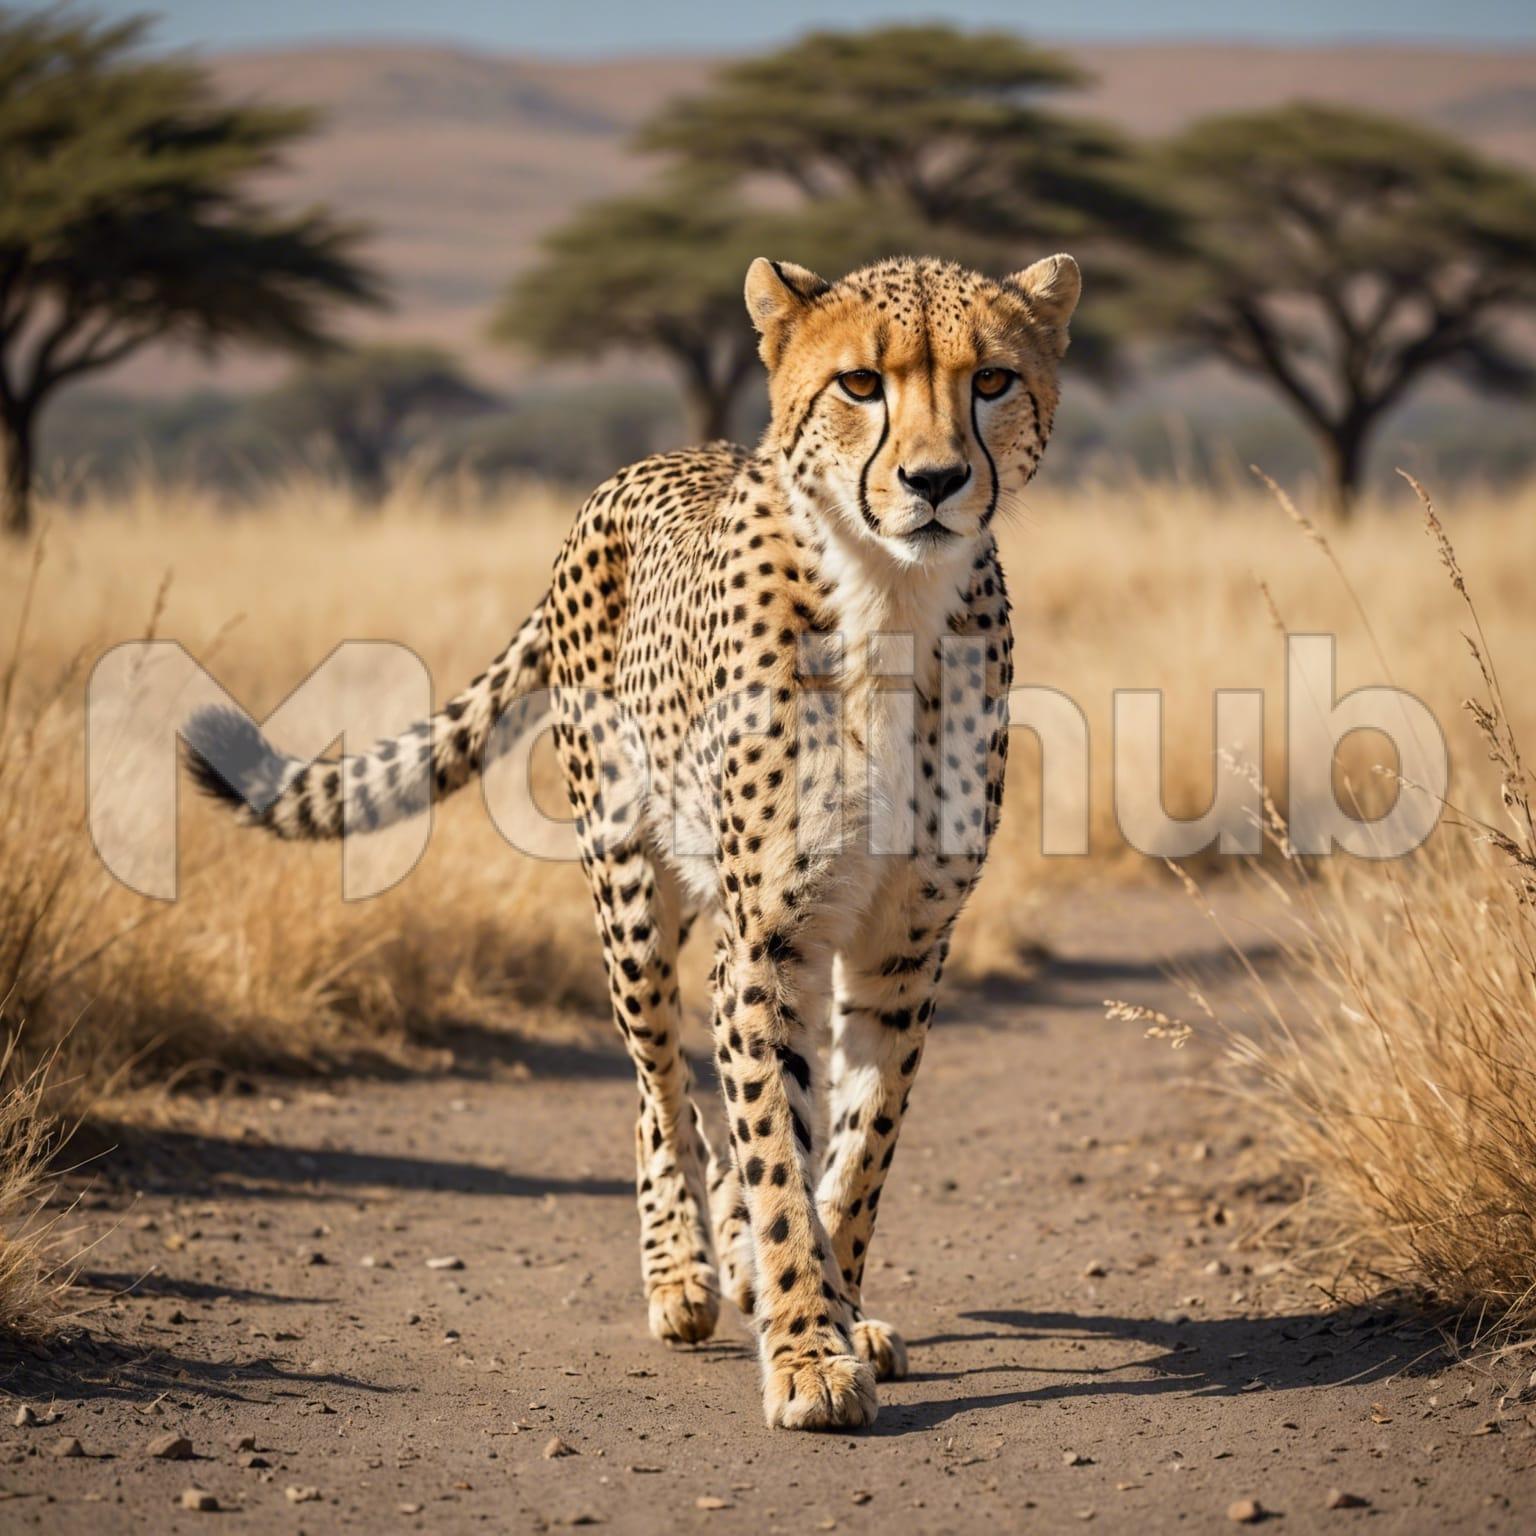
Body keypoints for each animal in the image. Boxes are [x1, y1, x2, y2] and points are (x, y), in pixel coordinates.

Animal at [184, 249, 1081, 1430]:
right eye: (860, 384)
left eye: (990, 380)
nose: (934, 482)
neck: (891, 597)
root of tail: (637, 470)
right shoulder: (770, 940)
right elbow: (775, 1152)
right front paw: (805, 1348)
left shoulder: (903, 945)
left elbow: (855, 1150)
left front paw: (839, 1313)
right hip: (631, 897)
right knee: (660, 1089)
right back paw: (687, 1275)